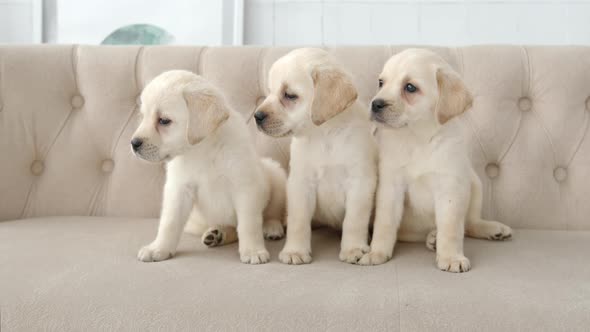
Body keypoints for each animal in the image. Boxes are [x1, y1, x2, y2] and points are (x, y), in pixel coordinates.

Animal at [131, 70, 286, 264]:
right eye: (143, 116)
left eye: (164, 120)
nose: (134, 143)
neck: (202, 149)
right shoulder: (179, 189)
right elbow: (169, 222)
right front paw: (159, 248)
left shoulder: (245, 187)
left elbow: (248, 223)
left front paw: (253, 251)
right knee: (231, 229)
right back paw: (217, 234)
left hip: (276, 175)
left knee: (271, 214)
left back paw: (272, 228)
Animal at [256, 48, 380, 264]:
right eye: (269, 92)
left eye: (289, 95)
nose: (257, 117)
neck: (324, 134)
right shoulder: (300, 183)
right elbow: (298, 221)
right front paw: (295, 251)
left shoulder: (360, 182)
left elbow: (354, 220)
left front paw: (353, 248)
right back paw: (273, 228)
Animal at [360, 49, 512, 272]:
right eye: (381, 82)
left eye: (410, 87)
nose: (375, 104)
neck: (418, 138)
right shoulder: (390, 186)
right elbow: (384, 224)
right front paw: (377, 252)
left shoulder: (450, 186)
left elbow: (451, 228)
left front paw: (451, 257)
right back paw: (432, 238)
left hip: (474, 182)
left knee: (470, 223)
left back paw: (491, 228)